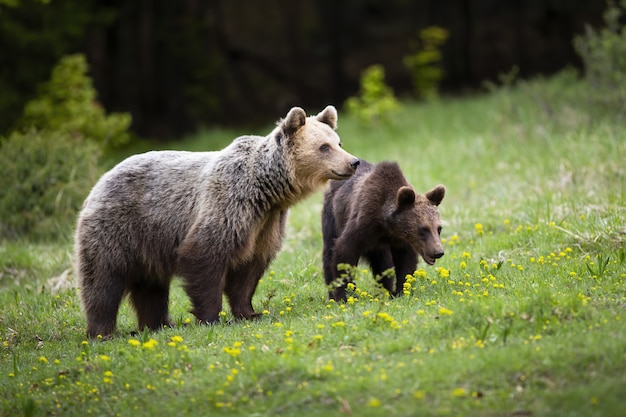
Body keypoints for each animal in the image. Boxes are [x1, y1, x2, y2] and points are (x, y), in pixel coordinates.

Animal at [73, 105, 358, 336]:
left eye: (339, 142)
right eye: (324, 147)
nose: (353, 162)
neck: (266, 190)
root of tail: (100, 181)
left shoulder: (265, 223)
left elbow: (249, 270)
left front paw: (250, 312)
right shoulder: (228, 205)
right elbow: (205, 256)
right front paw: (212, 317)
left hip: (149, 241)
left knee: (150, 287)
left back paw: (159, 324)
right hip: (117, 226)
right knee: (102, 279)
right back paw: (102, 331)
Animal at [322, 158, 444, 300]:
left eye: (439, 228)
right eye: (423, 228)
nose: (438, 252)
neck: (386, 224)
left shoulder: (400, 241)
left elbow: (405, 262)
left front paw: (402, 291)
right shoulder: (362, 224)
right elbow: (344, 251)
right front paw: (344, 295)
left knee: (382, 262)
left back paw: (386, 291)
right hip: (332, 218)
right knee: (328, 252)